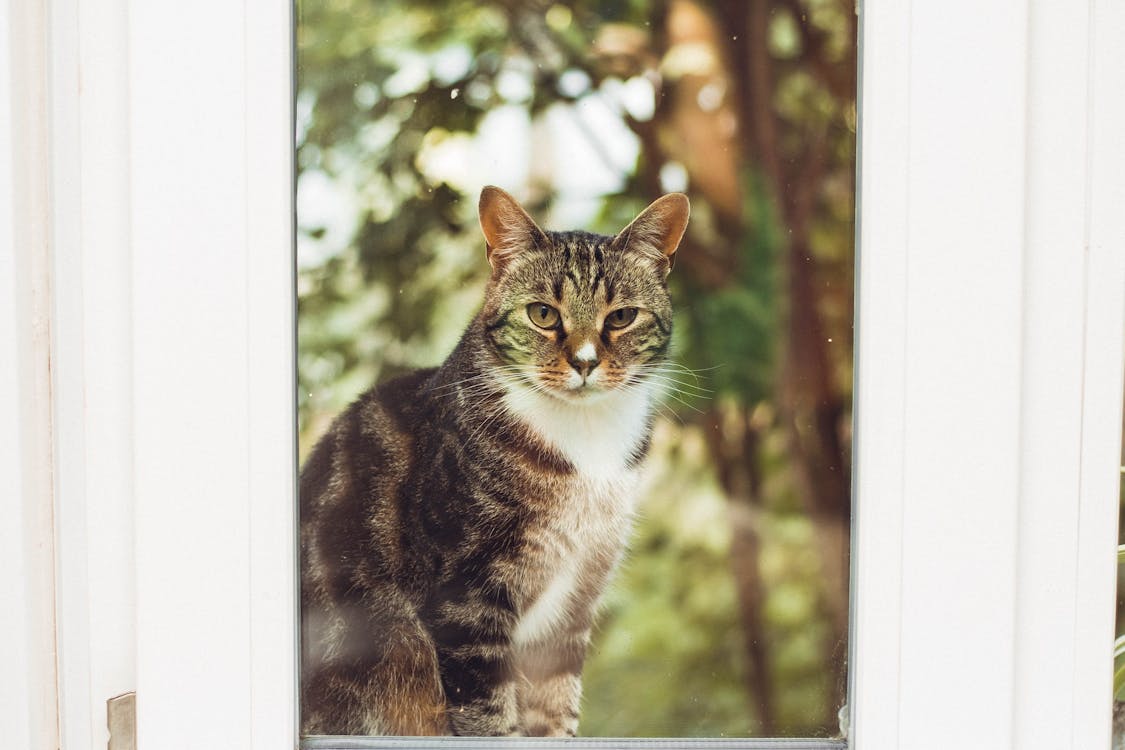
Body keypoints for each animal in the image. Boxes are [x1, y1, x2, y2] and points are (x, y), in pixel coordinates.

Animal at [299, 184, 688, 737]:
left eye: (621, 317)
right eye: (543, 314)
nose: (585, 362)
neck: (585, 442)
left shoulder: (573, 607)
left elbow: (555, 711)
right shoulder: (466, 605)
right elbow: (488, 715)